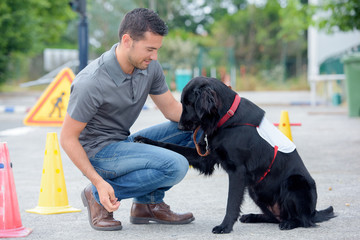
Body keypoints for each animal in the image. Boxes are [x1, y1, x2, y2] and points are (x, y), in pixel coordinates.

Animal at [135, 76, 334, 232]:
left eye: (189, 103)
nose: (180, 127)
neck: (227, 118)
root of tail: (314, 211)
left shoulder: (238, 171)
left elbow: (231, 202)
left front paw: (224, 227)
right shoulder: (207, 157)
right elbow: (170, 145)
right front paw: (144, 140)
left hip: (293, 182)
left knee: (303, 220)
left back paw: (290, 223)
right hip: (255, 190)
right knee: (274, 217)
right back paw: (253, 217)